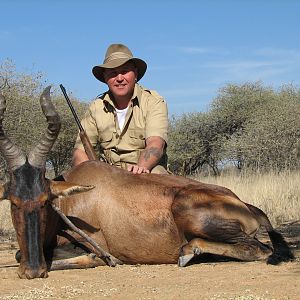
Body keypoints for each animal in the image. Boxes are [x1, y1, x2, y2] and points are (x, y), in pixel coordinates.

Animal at [0, 86, 294, 278]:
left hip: (191, 213)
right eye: (13, 202)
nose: (33, 271)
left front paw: (96, 259)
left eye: (44, 201)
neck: (74, 200)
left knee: (260, 248)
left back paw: (190, 250)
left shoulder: (91, 243)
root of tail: (243, 203)